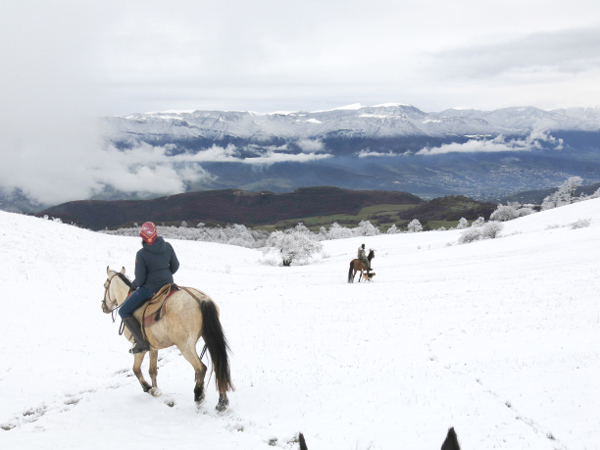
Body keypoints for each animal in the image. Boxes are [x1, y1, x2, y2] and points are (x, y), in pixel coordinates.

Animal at [101, 268, 232, 412]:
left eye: (105, 285)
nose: (103, 307)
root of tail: (201, 299)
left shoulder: (139, 349)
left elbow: (136, 369)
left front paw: (148, 388)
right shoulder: (153, 347)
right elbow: (152, 371)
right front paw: (155, 390)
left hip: (184, 346)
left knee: (201, 368)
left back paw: (199, 398)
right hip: (208, 338)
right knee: (218, 364)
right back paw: (222, 402)